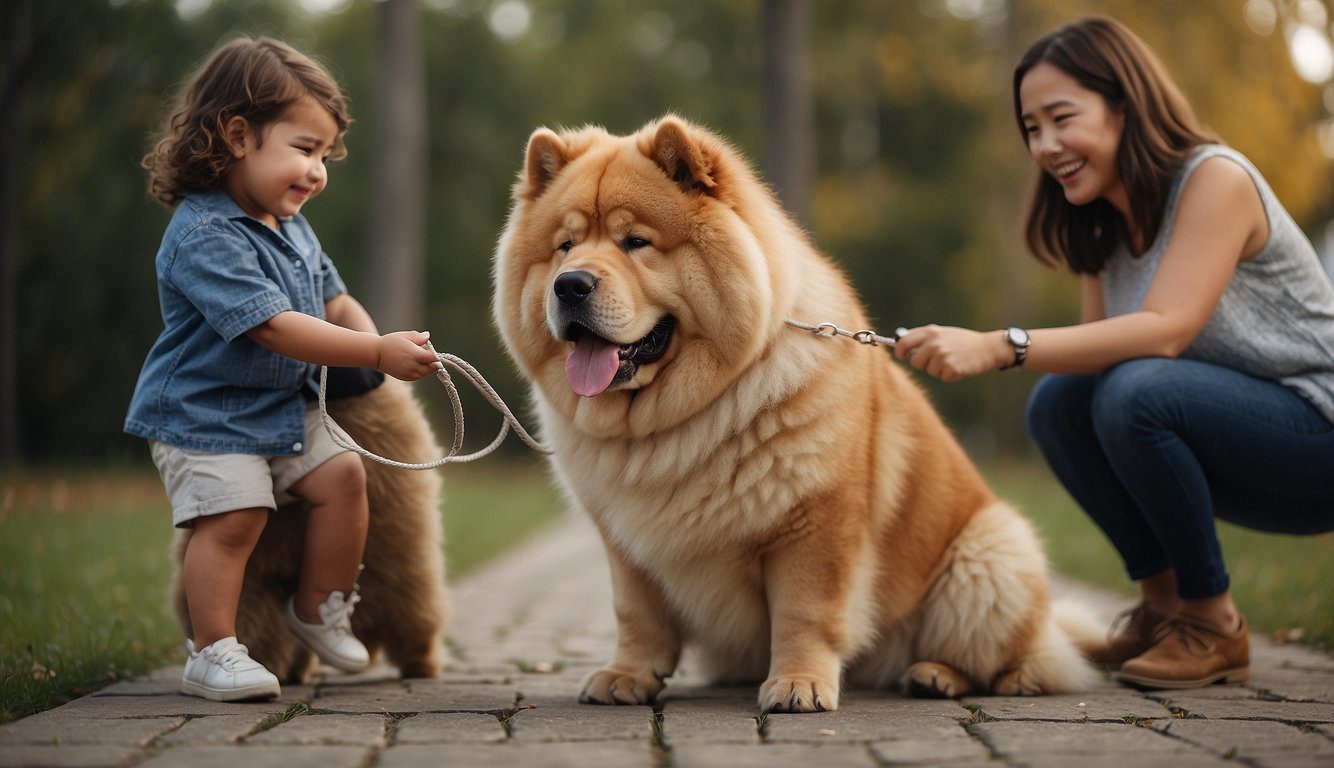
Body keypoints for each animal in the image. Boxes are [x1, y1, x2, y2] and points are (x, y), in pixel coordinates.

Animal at [490, 115, 1093, 714]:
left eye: (635, 242)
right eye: (565, 246)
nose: (570, 284)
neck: (666, 427)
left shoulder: (816, 525)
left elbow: (806, 612)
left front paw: (798, 685)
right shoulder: (626, 546)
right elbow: (637, 614)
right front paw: (627, 677)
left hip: (988, 556)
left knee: (1022, 660)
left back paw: (940, 675)